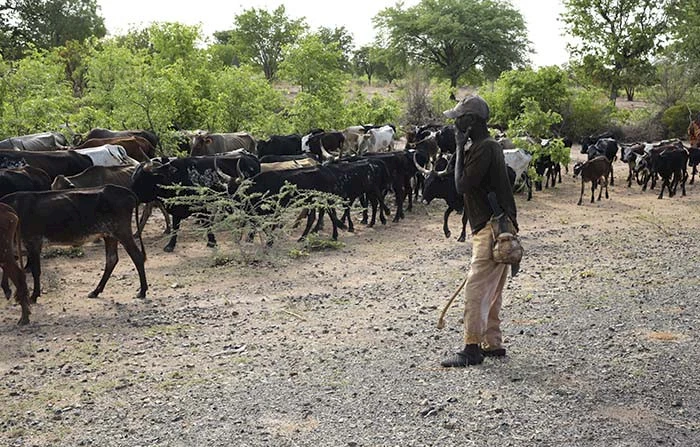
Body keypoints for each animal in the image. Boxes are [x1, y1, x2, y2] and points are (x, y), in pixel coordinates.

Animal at [1, 184, 149, 302]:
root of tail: (125, 191)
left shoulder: (33, 243)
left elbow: (35, 271)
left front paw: (33, 296)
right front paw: (8, 290)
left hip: (121, 231)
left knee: (137, 256)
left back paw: (142, 291)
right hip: (109, 235)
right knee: (112, 259)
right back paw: (95, 291)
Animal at [131, 154, 260, 252]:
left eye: (142, 178)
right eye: (134, 177)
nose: (131, 194)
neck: (176, 176)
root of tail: (250, 157)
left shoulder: (202, 206)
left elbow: (207, 224)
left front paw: (212, 241)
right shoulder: (177, 209)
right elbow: (175, 227)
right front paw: (170, 245)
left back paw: (249, 238)